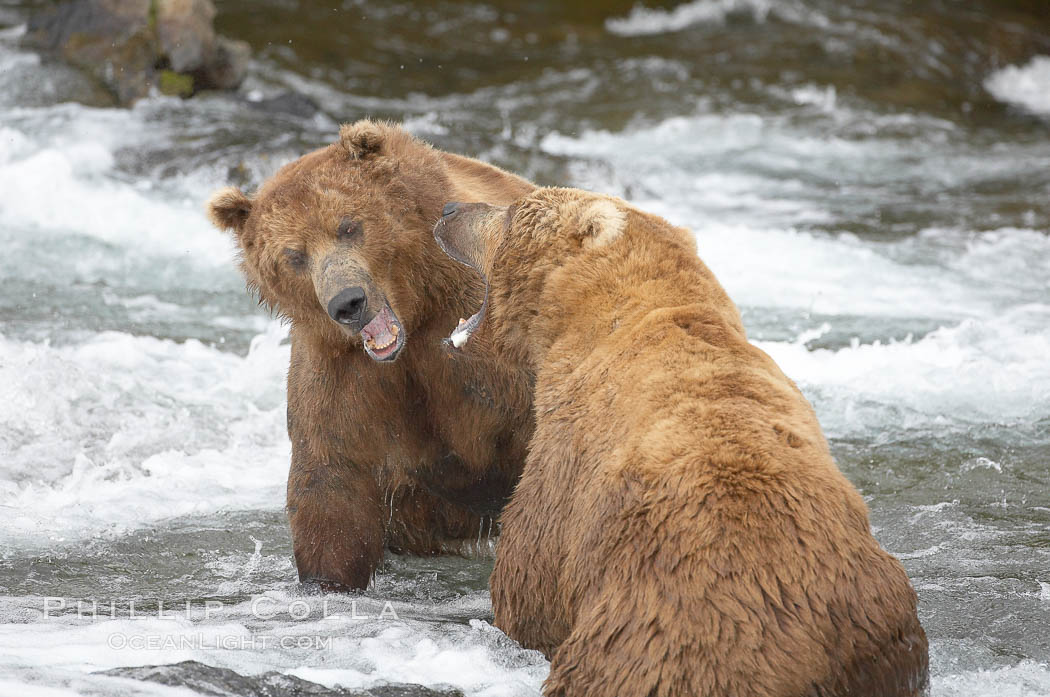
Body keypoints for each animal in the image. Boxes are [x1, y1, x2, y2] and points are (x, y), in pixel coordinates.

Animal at [206, 120, 536, 591]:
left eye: (348, 226)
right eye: (294, 255)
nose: (348, 302)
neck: (417, 320)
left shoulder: (491, 355)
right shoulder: (344, 379)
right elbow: (332, 492)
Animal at [433, 188, 929, 697]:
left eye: (512, 210)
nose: (449, 210)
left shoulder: (567, 455)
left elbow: (530, 575)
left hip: (663, 627)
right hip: (883, 633)